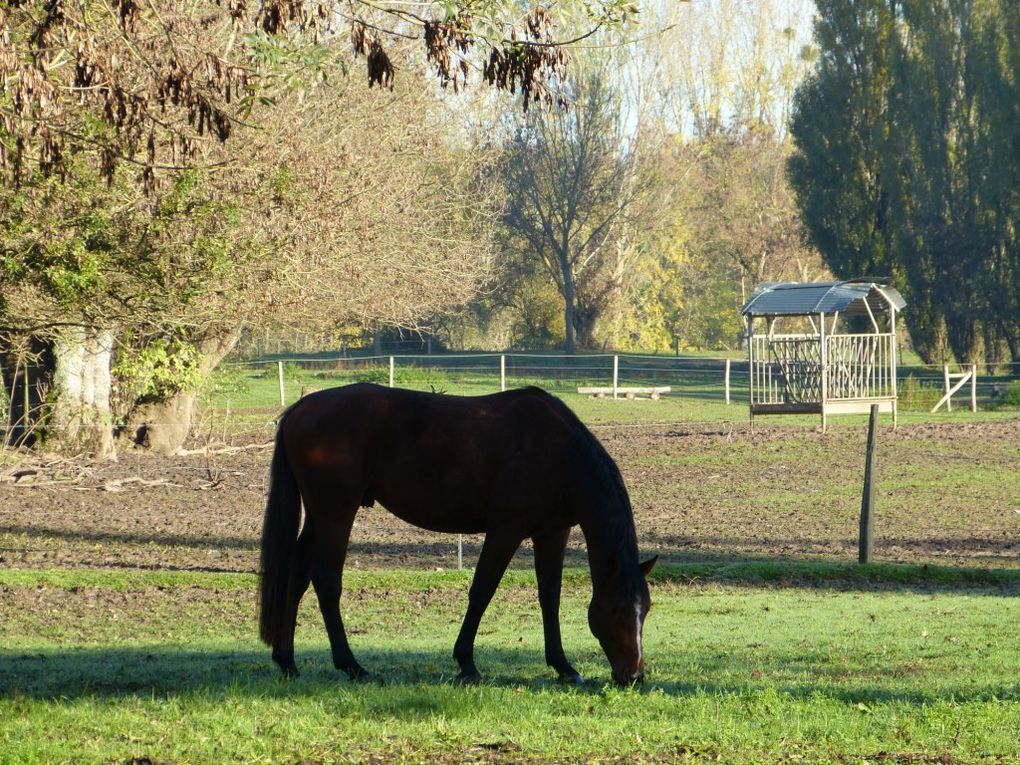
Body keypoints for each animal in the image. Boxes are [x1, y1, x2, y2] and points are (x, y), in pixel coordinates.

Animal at [259, 385, 656, 685]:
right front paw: (466, 663)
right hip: (336, 515)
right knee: (326, 582)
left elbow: (550, 598)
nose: (633, 676)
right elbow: (482, 591)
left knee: (296, 574)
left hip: (321, 517)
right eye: (618, 608)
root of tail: (301, 407)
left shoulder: (552, 534)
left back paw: (287, 661)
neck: (558, 452)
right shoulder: (505, 530)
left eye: (647, 609)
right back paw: (352, 666)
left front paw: (563, 666)